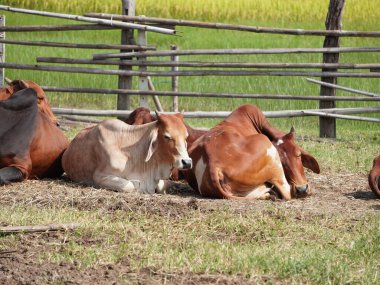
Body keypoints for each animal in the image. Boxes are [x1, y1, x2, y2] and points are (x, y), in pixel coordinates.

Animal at [63, 112, 193, 192]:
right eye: (167, 136)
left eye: (186, 136)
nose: (187, 162)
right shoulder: (100, 176)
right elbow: (130, 185)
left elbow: (161, 185)